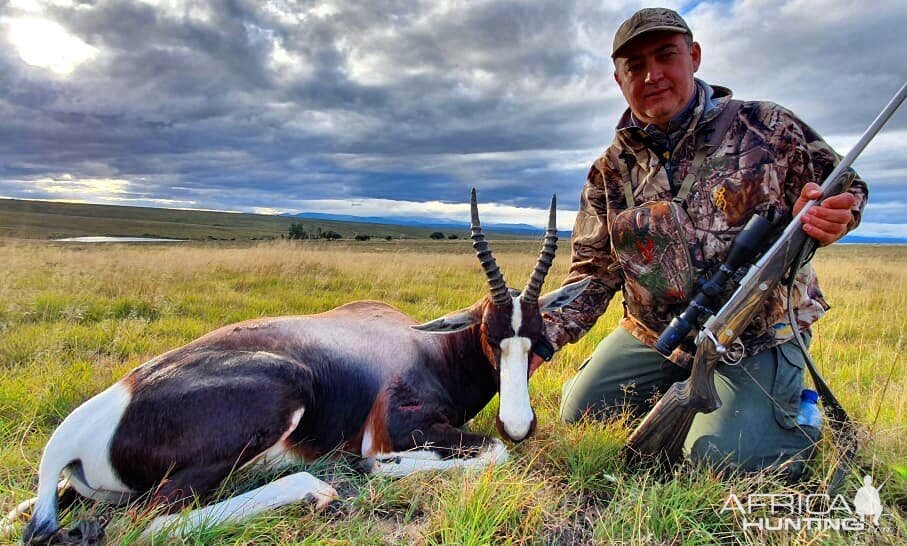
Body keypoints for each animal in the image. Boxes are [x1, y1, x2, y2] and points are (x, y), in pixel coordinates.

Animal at [12, 190, 588, 540]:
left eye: (539, 343)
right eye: (491, 338)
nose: (519, 424)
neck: (425, 346)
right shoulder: (400, 425)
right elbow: (491, 452)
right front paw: (377, 467)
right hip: (276, 402)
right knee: (148, 523)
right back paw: (319, 491)